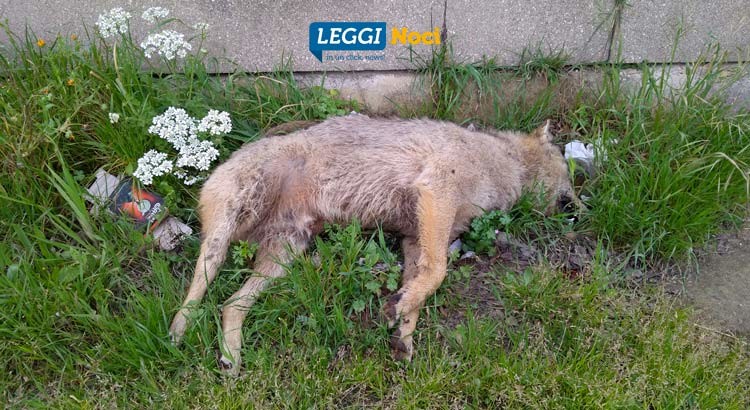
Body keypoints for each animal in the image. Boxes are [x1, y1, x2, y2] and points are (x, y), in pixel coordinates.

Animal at [168, 114, 579, 375]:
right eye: (568, 169)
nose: (580, 208)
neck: (506, 163)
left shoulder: (416, 237)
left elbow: (421, 289)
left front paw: (403, 334)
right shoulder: (437, 193)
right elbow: (438, 273)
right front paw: (397, 314)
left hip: (283, 258)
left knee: (230, 304)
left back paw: (230, 357)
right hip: (230, 228)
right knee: (200, 283)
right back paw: (177, 332)